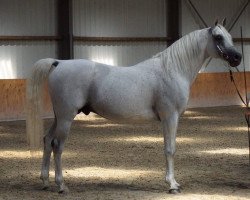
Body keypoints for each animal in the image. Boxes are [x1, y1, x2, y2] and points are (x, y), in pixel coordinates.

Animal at [25, 22, 242, 194]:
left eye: (230, 36)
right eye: (218, 37)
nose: (237, 57)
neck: (172, 69)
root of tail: (59, 63)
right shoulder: (170, 117)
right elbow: (170, 149)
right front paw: (172, 185)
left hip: (59, 117)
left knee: (47, 141)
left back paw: (45, 181)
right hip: (66, 118)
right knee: (57, 146)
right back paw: (61, 186)